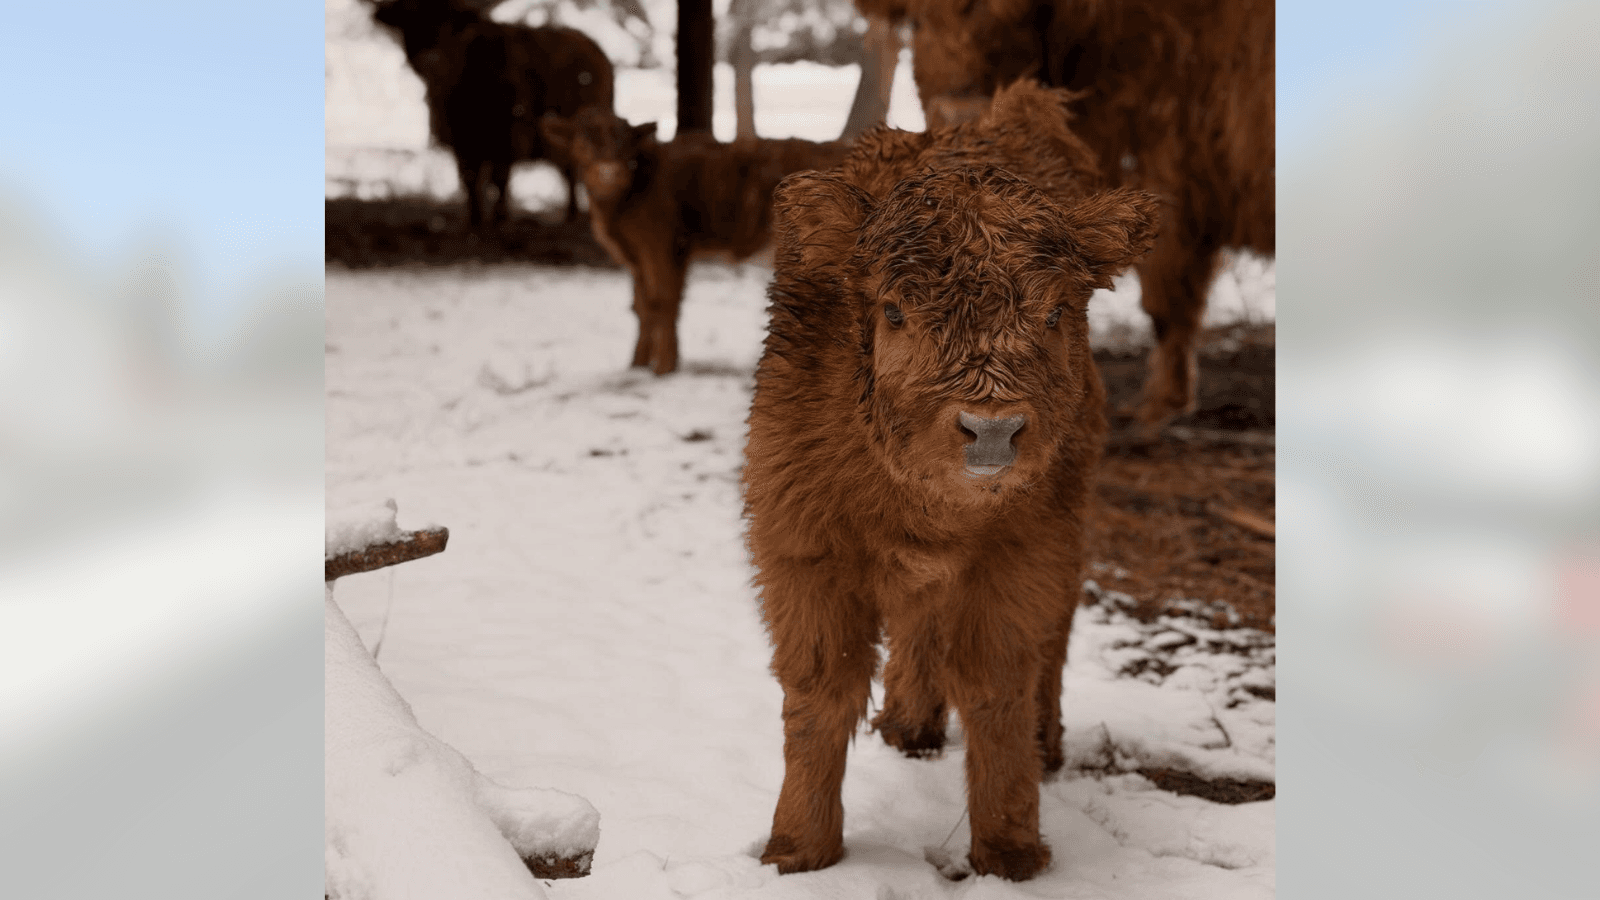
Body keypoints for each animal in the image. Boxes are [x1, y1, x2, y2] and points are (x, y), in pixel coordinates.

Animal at [367, 0, 614, 228]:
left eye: (450, 24)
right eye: (411, 20)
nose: (430, 59)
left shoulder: (508, 135)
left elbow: (499, 179)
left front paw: (500, 219)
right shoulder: (460, 139)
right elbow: (470, 179)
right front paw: (475, 219)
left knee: (577, 173)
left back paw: (575, 215)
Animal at [541, 109, 851, 375]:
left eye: (626, 145)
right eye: (582, 143)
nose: (609, 173)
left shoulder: (661, 246)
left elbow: (662, 300)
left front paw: (663, 368)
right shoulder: (642, 256)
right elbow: (643, 305)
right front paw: (638, 364)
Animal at [742, 81, 1159, 880]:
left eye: (1056, 311)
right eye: (895, 310)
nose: (991, 430)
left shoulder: (1025, 552)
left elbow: (997, 685)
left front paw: (1010, 850)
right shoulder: (803, 548)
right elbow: (821, 690)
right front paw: (798, 847)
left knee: (1052, 639)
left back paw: (1044, 742)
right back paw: (910, 723)